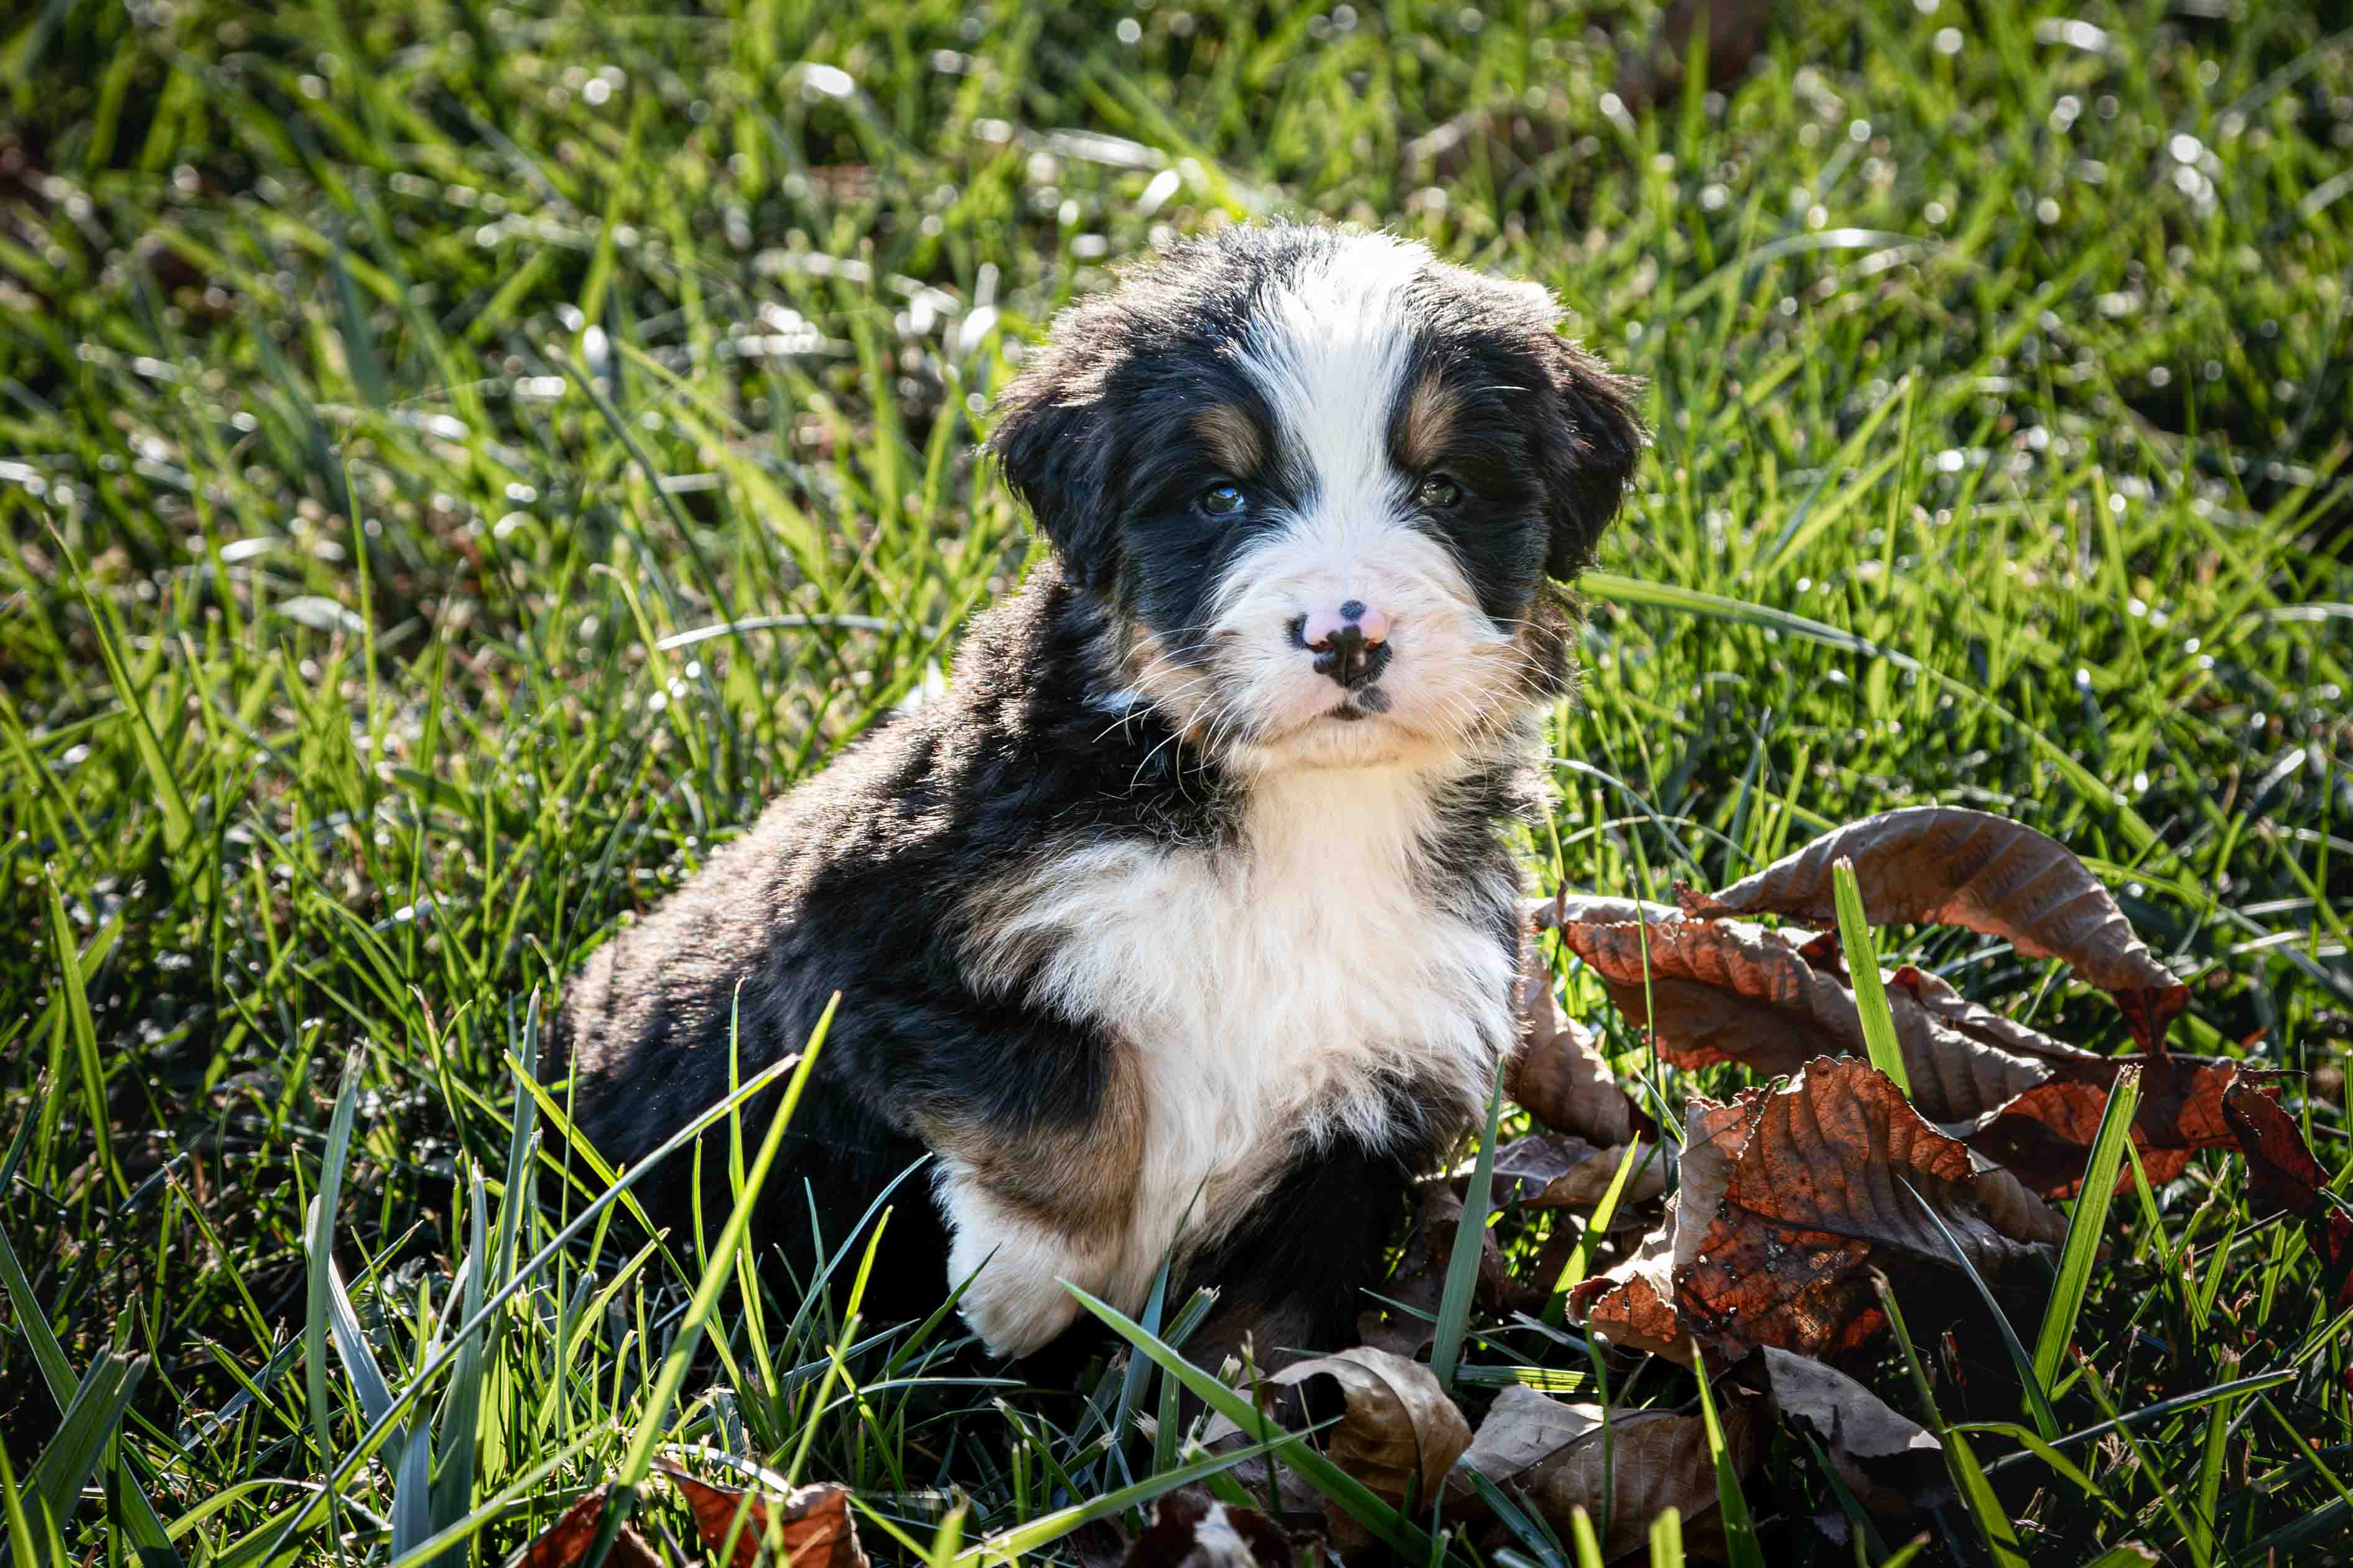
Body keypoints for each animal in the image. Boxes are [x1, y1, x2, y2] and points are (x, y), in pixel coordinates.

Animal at [548, 221, 1638, 1363]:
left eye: (1443, 490)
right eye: (1220, 496)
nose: (1348, 635)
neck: (1298, 815)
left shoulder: (1365, 1114)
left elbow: (1264, 1332)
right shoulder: (890, 943)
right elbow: (1059, 1097)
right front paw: (1022, 1284)